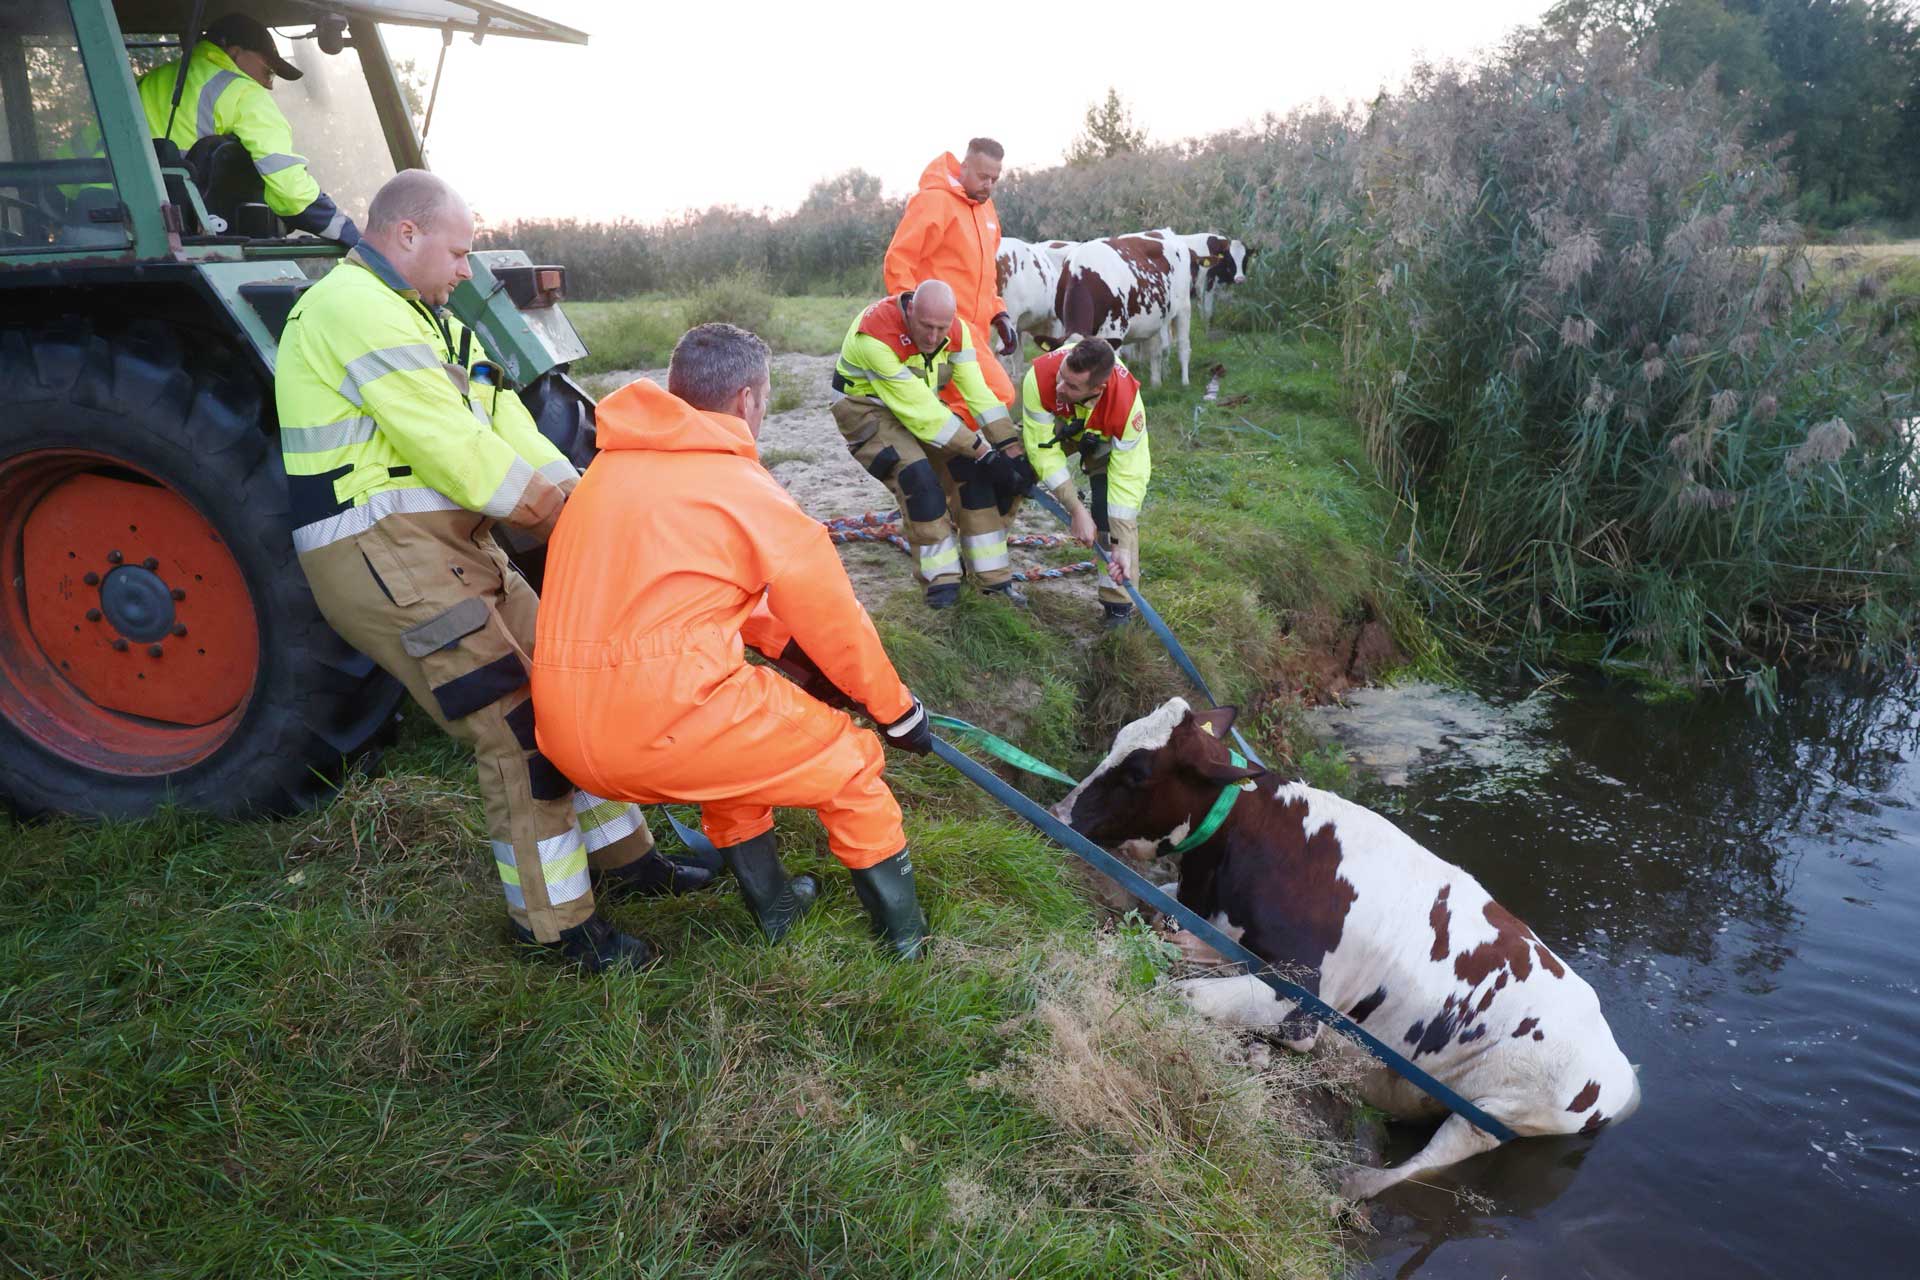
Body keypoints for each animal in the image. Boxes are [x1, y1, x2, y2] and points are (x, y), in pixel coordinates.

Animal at [1052, 229, 1182, 385]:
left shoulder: (1115, 329)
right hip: (1155, 319)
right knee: (1155, 350)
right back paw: (1156, 383)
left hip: (1178, 311)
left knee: (1169, 346)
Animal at [1059, 694, 1643, 1197]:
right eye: (1118, 738)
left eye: (1138, 772)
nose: (1062, 814)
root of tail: (1618, 1066)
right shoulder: (1210, 923)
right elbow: (1158, 926)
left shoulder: (1297, 1000)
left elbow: (1179, 993)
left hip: (1502, 1112)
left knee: (1430, 1160)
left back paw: (1353, 1185)